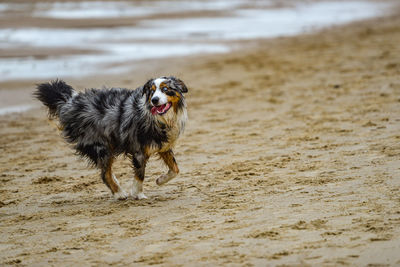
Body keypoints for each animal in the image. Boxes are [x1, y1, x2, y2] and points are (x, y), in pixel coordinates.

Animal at [34, 76, 189, 200]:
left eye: (165, 89)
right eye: (151, 92)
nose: (154, 100)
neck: (158, 118)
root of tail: (69, 103)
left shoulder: (163, 146)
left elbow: (175, 169)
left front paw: (160, 180)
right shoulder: (139, 150)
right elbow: (140, 175)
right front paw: (138, 194)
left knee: (106, 170)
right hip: (101, 147)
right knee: (105, 174)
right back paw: (119, 193)